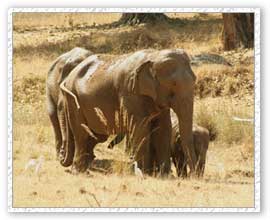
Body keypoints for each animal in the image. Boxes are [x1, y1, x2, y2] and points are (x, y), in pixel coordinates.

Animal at [60, 49, 197, 174]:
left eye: (195, 80)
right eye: (173, 85)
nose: (193, 175)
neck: (154, 55)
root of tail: (67, 78)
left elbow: (163, 128)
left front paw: (164, 174)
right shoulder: (130, 92)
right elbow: (140, 128)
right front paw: (145, 172)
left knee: (95, 135)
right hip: (73, 101)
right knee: (81, 133)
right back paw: (79, 171)